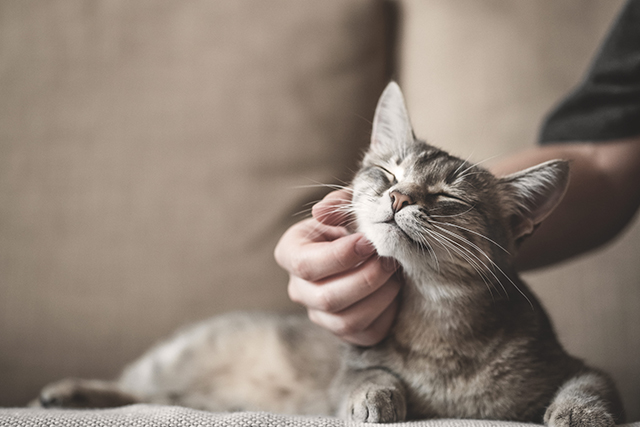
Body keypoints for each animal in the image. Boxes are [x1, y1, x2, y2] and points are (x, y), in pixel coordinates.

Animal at [36, 83, 624, 427]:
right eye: (387, 173)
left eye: (447, 198)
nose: (399, 198)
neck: (436, 324)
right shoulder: (352, 365)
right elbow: (367, 376)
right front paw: (376, 397)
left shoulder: (577, 367)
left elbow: (590, 386)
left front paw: (579, 415)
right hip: (175, 359)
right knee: (137, 387)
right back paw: (68, 391)